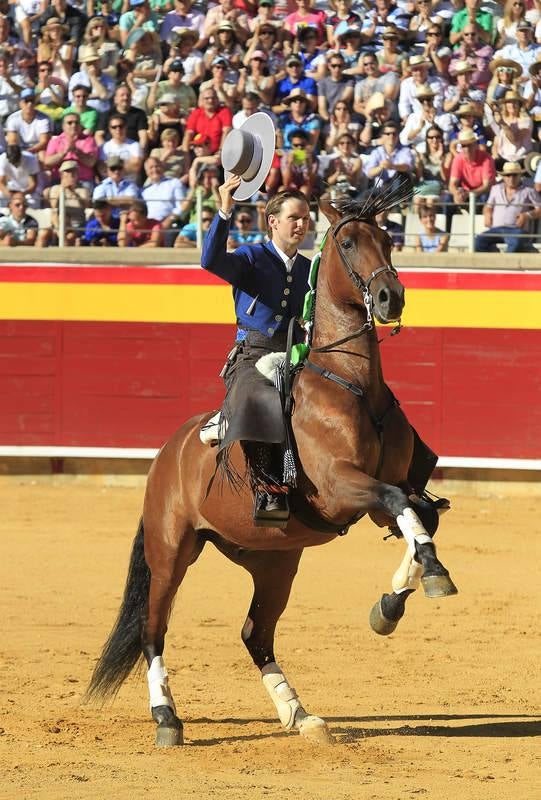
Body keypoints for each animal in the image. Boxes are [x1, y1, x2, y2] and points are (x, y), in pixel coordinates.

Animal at [86, 184, 458, 748]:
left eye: (389, 239)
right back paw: (167, 719)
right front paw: (432, 576)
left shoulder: (379, 493)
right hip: (171, 550)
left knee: (255, 633)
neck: (350, 383)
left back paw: (300, 714)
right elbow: (405, 509)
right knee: (154, 630)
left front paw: (389, 608)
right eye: (347, 242)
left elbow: (421, 517)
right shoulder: (341, 487)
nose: (390, 297)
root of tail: (167, 455)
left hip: (274, 559)